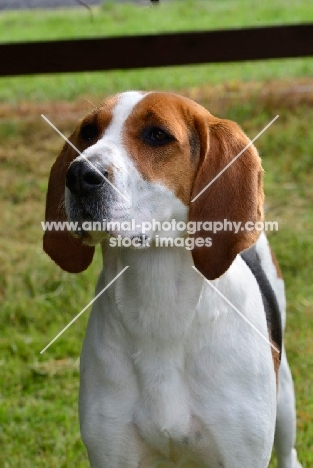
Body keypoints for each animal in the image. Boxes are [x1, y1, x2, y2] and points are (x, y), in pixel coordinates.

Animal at [42, 92, 302, 468]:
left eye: (157, 135)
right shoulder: (110, 452)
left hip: (284, 400)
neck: (158, 299)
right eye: (89, 132)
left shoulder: (242, 454)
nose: (78, 174)